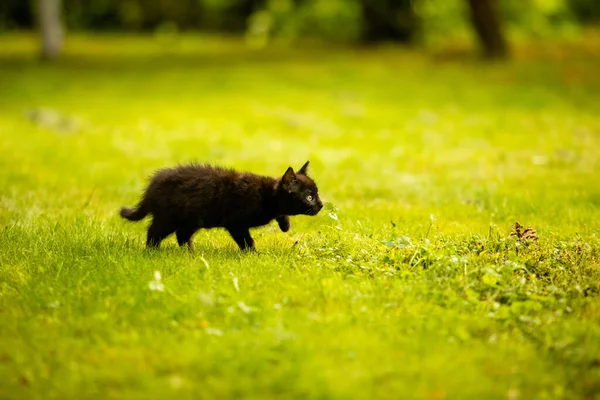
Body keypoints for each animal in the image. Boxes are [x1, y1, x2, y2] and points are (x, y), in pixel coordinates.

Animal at [120, 160, 324, 250]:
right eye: (309, 197)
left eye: (316, 194)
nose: (321, 205)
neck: (267, 196)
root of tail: (152, 186)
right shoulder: (236, 223)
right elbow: (247, 240)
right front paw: (253, 254)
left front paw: (285, 224)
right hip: (169, 217)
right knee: (154, 232)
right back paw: (152, 251)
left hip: (192, 220)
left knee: (182, 235)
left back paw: (190, 253)